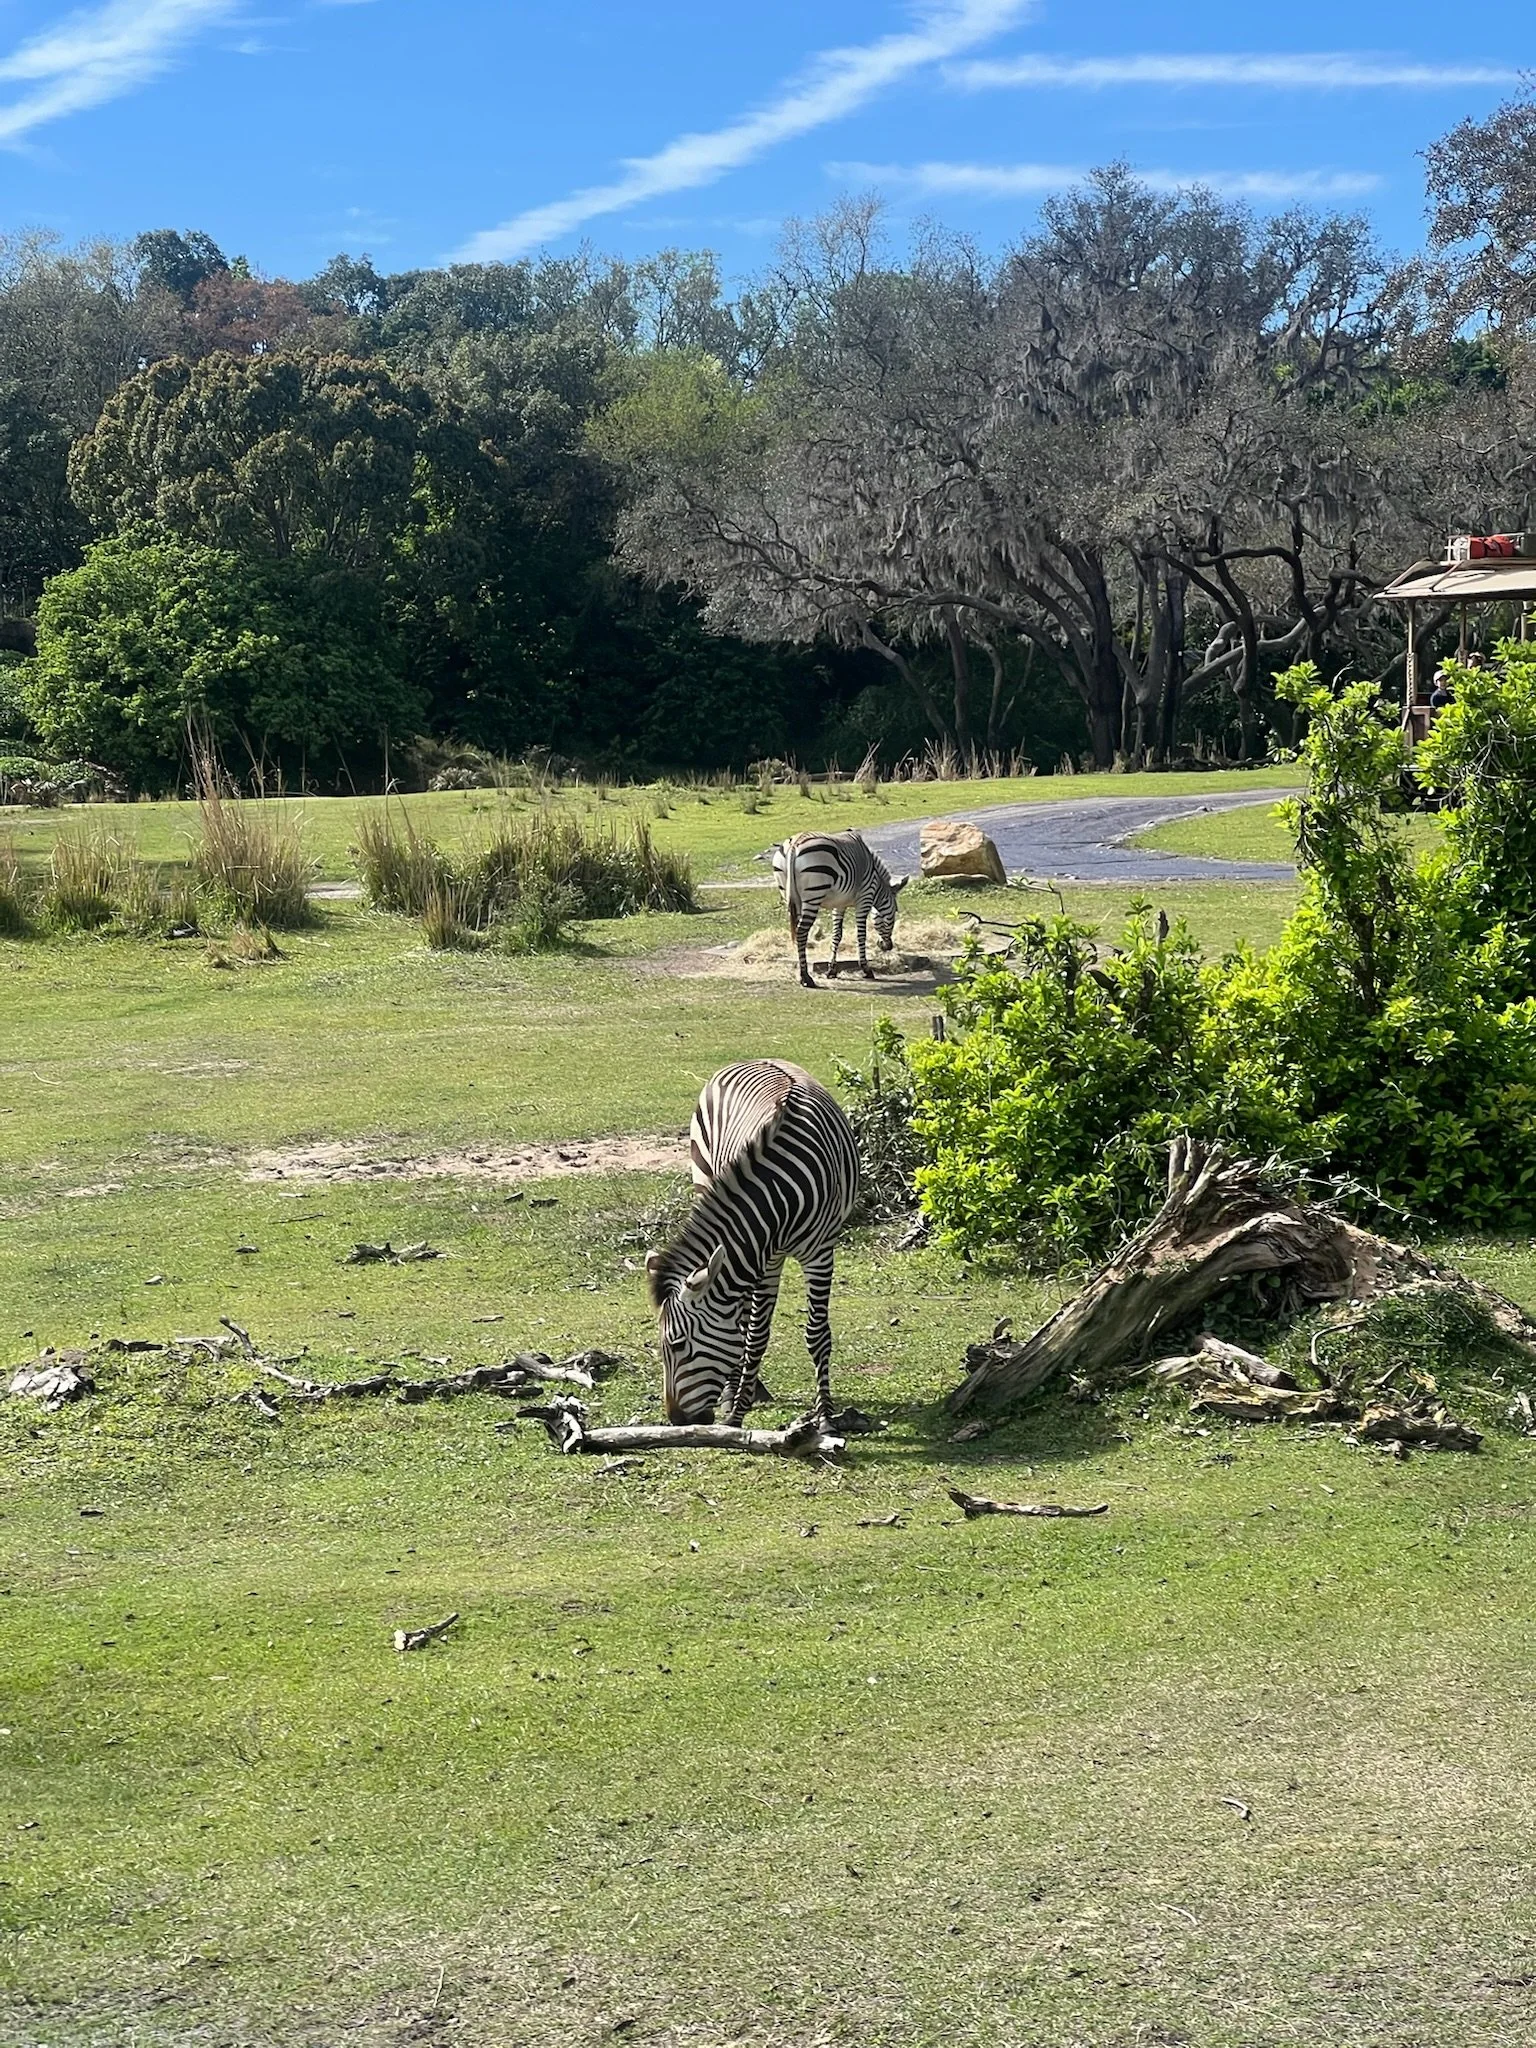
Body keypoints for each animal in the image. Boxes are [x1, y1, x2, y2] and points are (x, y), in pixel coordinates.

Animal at [647, 1059, 860, 1427]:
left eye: (676, 1344)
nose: (677, 1421)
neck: (778, 1192)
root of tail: (752, 1060)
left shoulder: (820, 1252)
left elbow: (816, 1333)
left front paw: (825, 1416)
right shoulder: (765, 1256)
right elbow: (754, 1336)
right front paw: (736, 1413)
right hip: (705, 1179)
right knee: (744, 1317)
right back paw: (735, 1390)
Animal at [771, 830, 908, 989]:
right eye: (894, 913)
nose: (888, 946)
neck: (877, 889)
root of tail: (795, 843)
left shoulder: (839, 904)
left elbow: (837, 935)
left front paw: (831, 970)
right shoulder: (865, 899)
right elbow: (861, 935)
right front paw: (866, 969)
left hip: (791, 898)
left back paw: (803, 975)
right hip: (813, 896)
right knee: (801, 932)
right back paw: (806, 978)